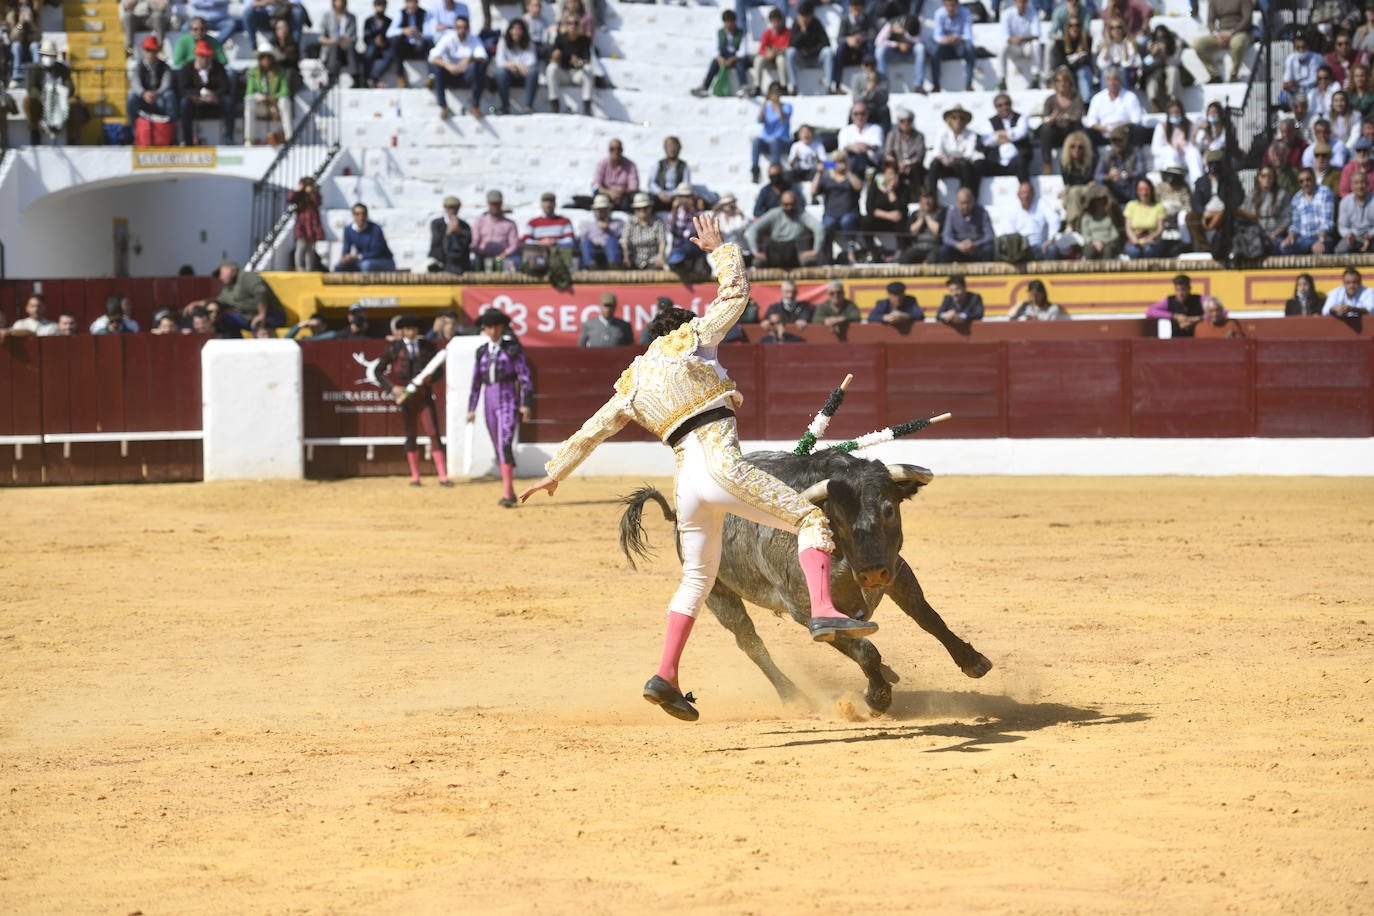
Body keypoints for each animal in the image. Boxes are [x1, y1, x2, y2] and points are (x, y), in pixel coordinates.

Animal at [621, 444, 989, 714]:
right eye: (837, 517)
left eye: (889, 509)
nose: (871, 572)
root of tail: (677, 516)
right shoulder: (805, 609)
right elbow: (866, 650)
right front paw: (877, 698)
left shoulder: (896, 570)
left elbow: (927, 616)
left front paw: (973, 662)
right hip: (716, 591)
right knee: (751, 643)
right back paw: (794, 697)